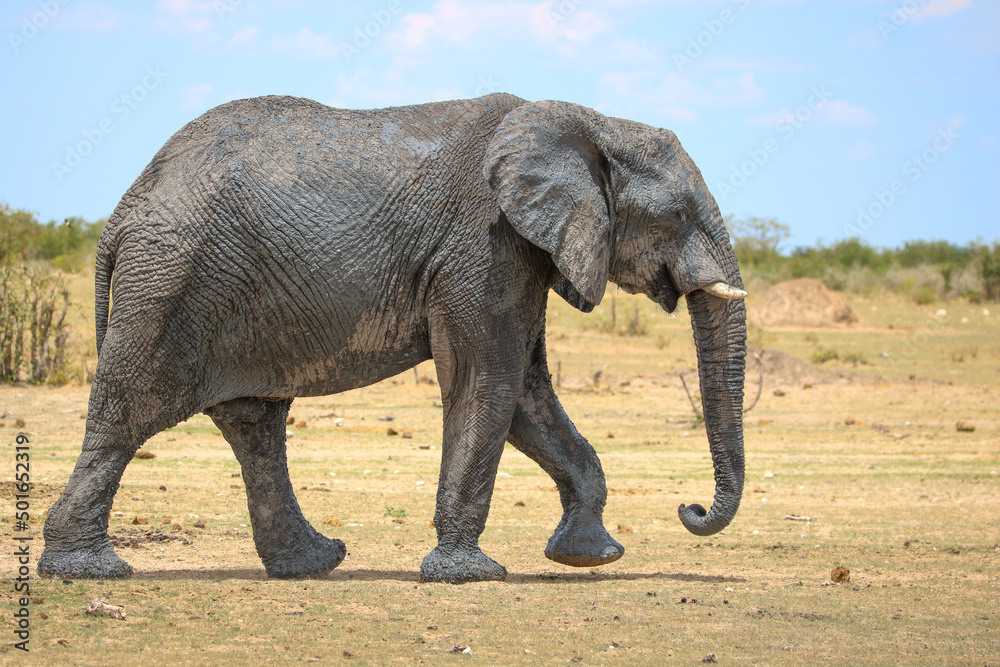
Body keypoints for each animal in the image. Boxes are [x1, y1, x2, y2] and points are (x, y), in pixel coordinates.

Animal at [38, 93, 747, 584]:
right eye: (679, 214)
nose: (690, 509)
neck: (587, 120)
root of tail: (121, 212)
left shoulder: (520, 255)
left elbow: (526, 396)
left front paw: (590, 557)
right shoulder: (484, 244)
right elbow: (490, 382)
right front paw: (470, 576)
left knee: (253, 424)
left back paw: (314, 563)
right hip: (170, 281)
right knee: (129, 412)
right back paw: (88, 571)